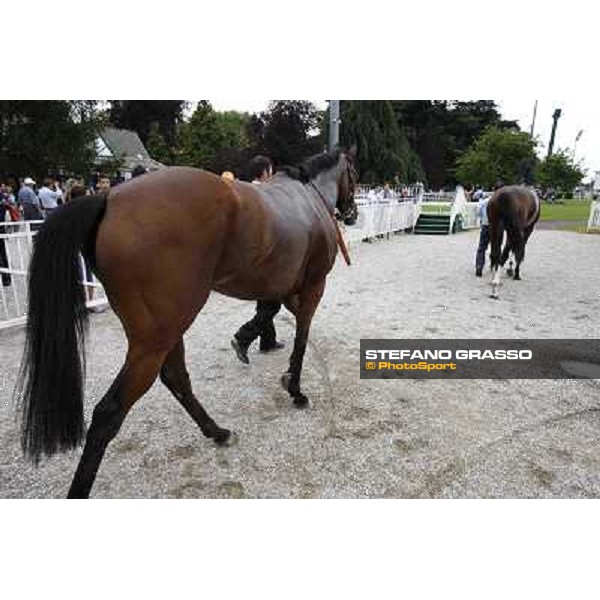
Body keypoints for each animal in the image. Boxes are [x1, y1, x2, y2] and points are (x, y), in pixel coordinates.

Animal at [15, 148, 356, 494]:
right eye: (353, 173)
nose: (351, 212)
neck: (308, 198)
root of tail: (109, 197)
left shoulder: (280, 287)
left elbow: (270, 313)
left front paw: (252, 345)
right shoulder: (313, 286)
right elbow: (302, 336)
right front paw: (296, 389)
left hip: (169, 325)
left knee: (175, 377)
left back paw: (217, 431)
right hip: (158, 336)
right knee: (109, 412)